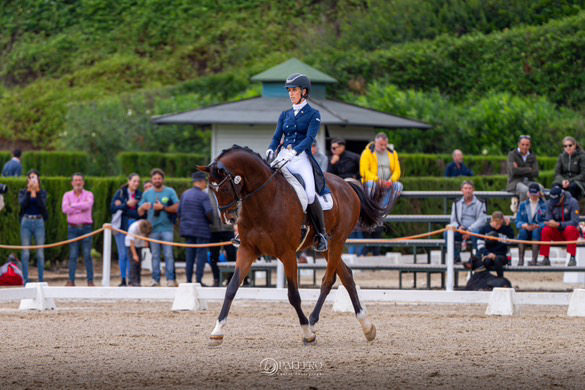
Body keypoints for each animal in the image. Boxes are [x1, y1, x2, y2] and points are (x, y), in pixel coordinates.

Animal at [198, 145, 386, 346]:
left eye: (225, 187)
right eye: (211, 189)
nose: (229, 218)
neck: (265, 200)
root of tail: (346, 185)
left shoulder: (287, 254)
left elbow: (294, 295)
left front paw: (307, 334)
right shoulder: (247, 250)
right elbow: (232, 288)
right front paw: (217, 332)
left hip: (337, 241)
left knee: (328, 280)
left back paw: (313, 323)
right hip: (326, 248)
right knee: (347, 276)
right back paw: (367, 327)